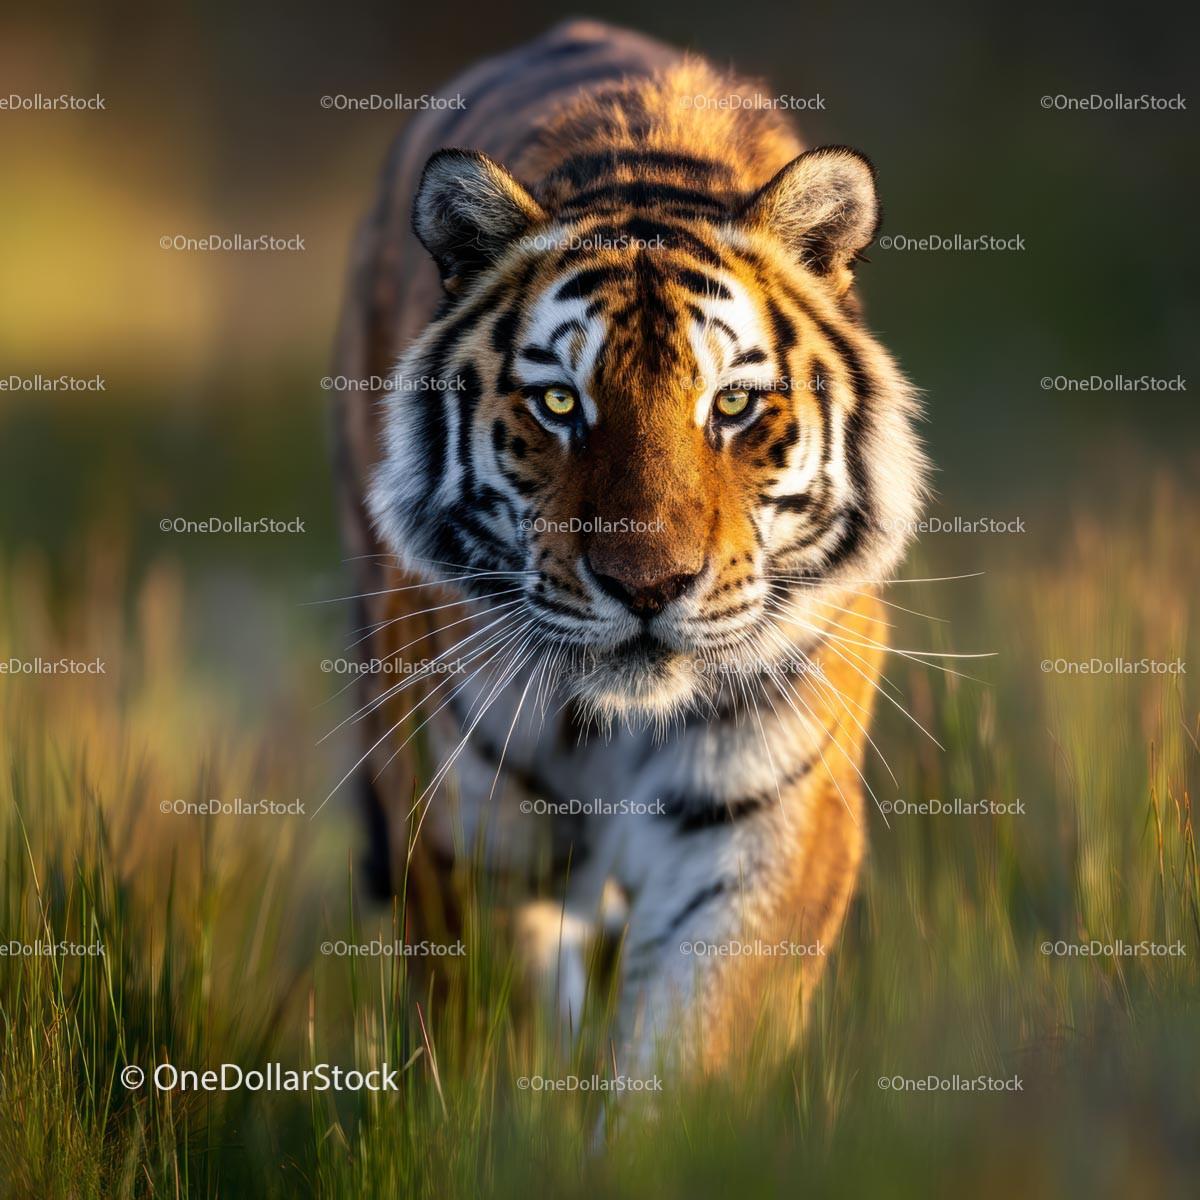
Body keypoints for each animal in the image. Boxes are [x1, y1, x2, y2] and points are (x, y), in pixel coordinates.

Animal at [331, 18, 928, 1078]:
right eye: (559, 402)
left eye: (732, 403)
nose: (647, 586)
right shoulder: (472, 838)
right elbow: (505, 1045)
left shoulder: (760, 832)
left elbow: (693, 1053)